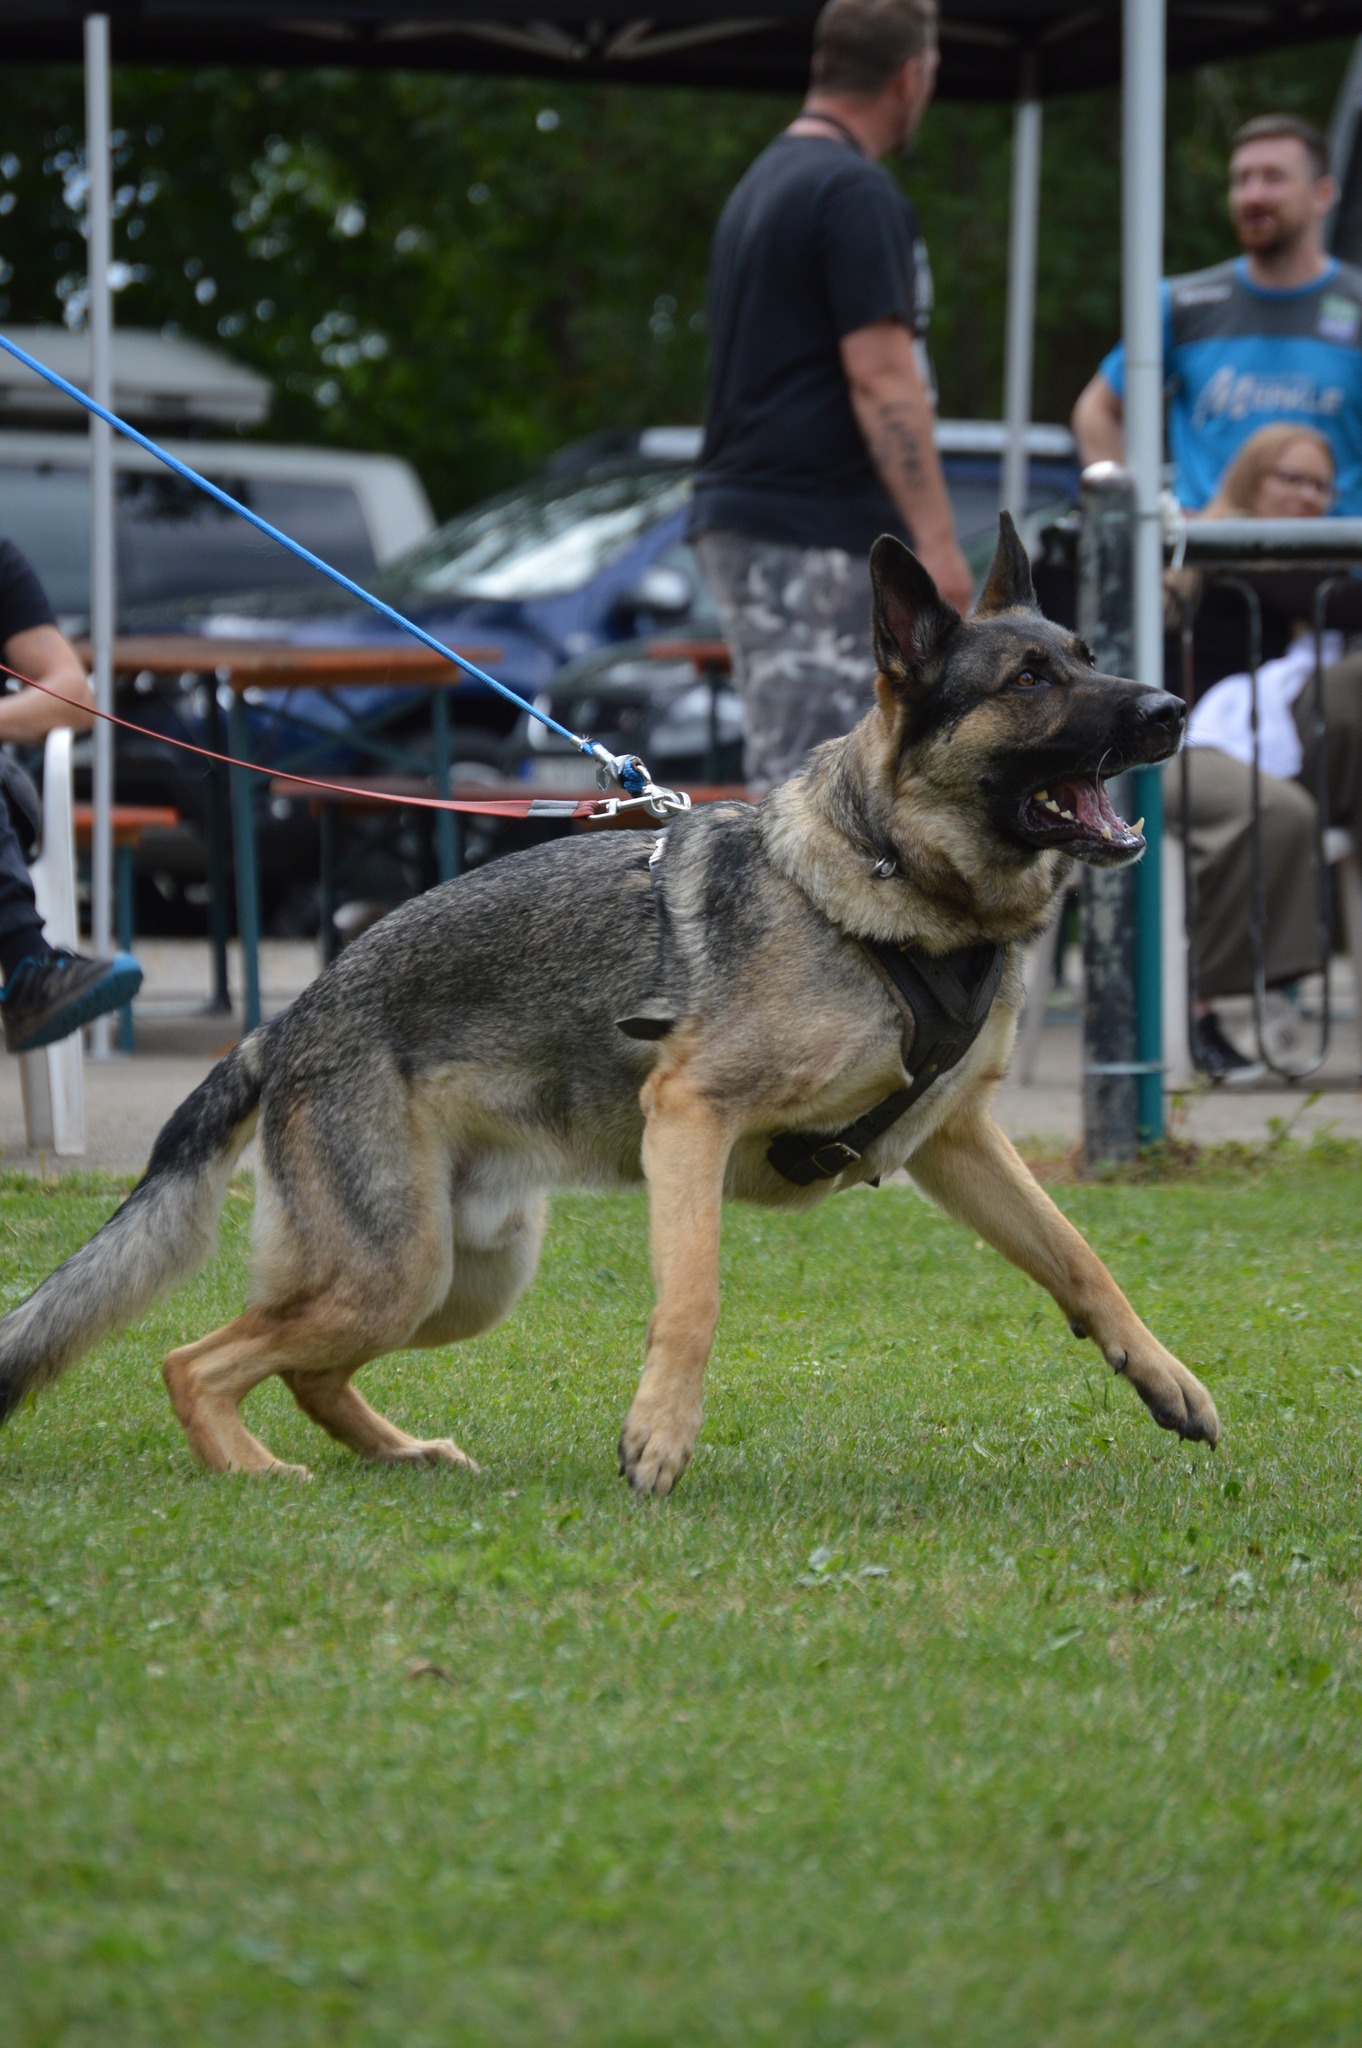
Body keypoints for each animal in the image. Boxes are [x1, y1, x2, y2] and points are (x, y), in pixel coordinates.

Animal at [0, 517, 1218, 1493]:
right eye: (1029, 681)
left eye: (1087, 657)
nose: (1172, 706)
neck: (891, 883)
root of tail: (290, 1018)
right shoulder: (689, 1117)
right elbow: (694, 1296)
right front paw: (658, 1441)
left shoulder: (954, 1138)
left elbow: (1081, 1259)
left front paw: (1164, 1376)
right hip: (396, 1271)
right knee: (194, 1360)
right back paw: (255, 1470)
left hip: (455, 1283)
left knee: (305, 1372)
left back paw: (399, 1453)